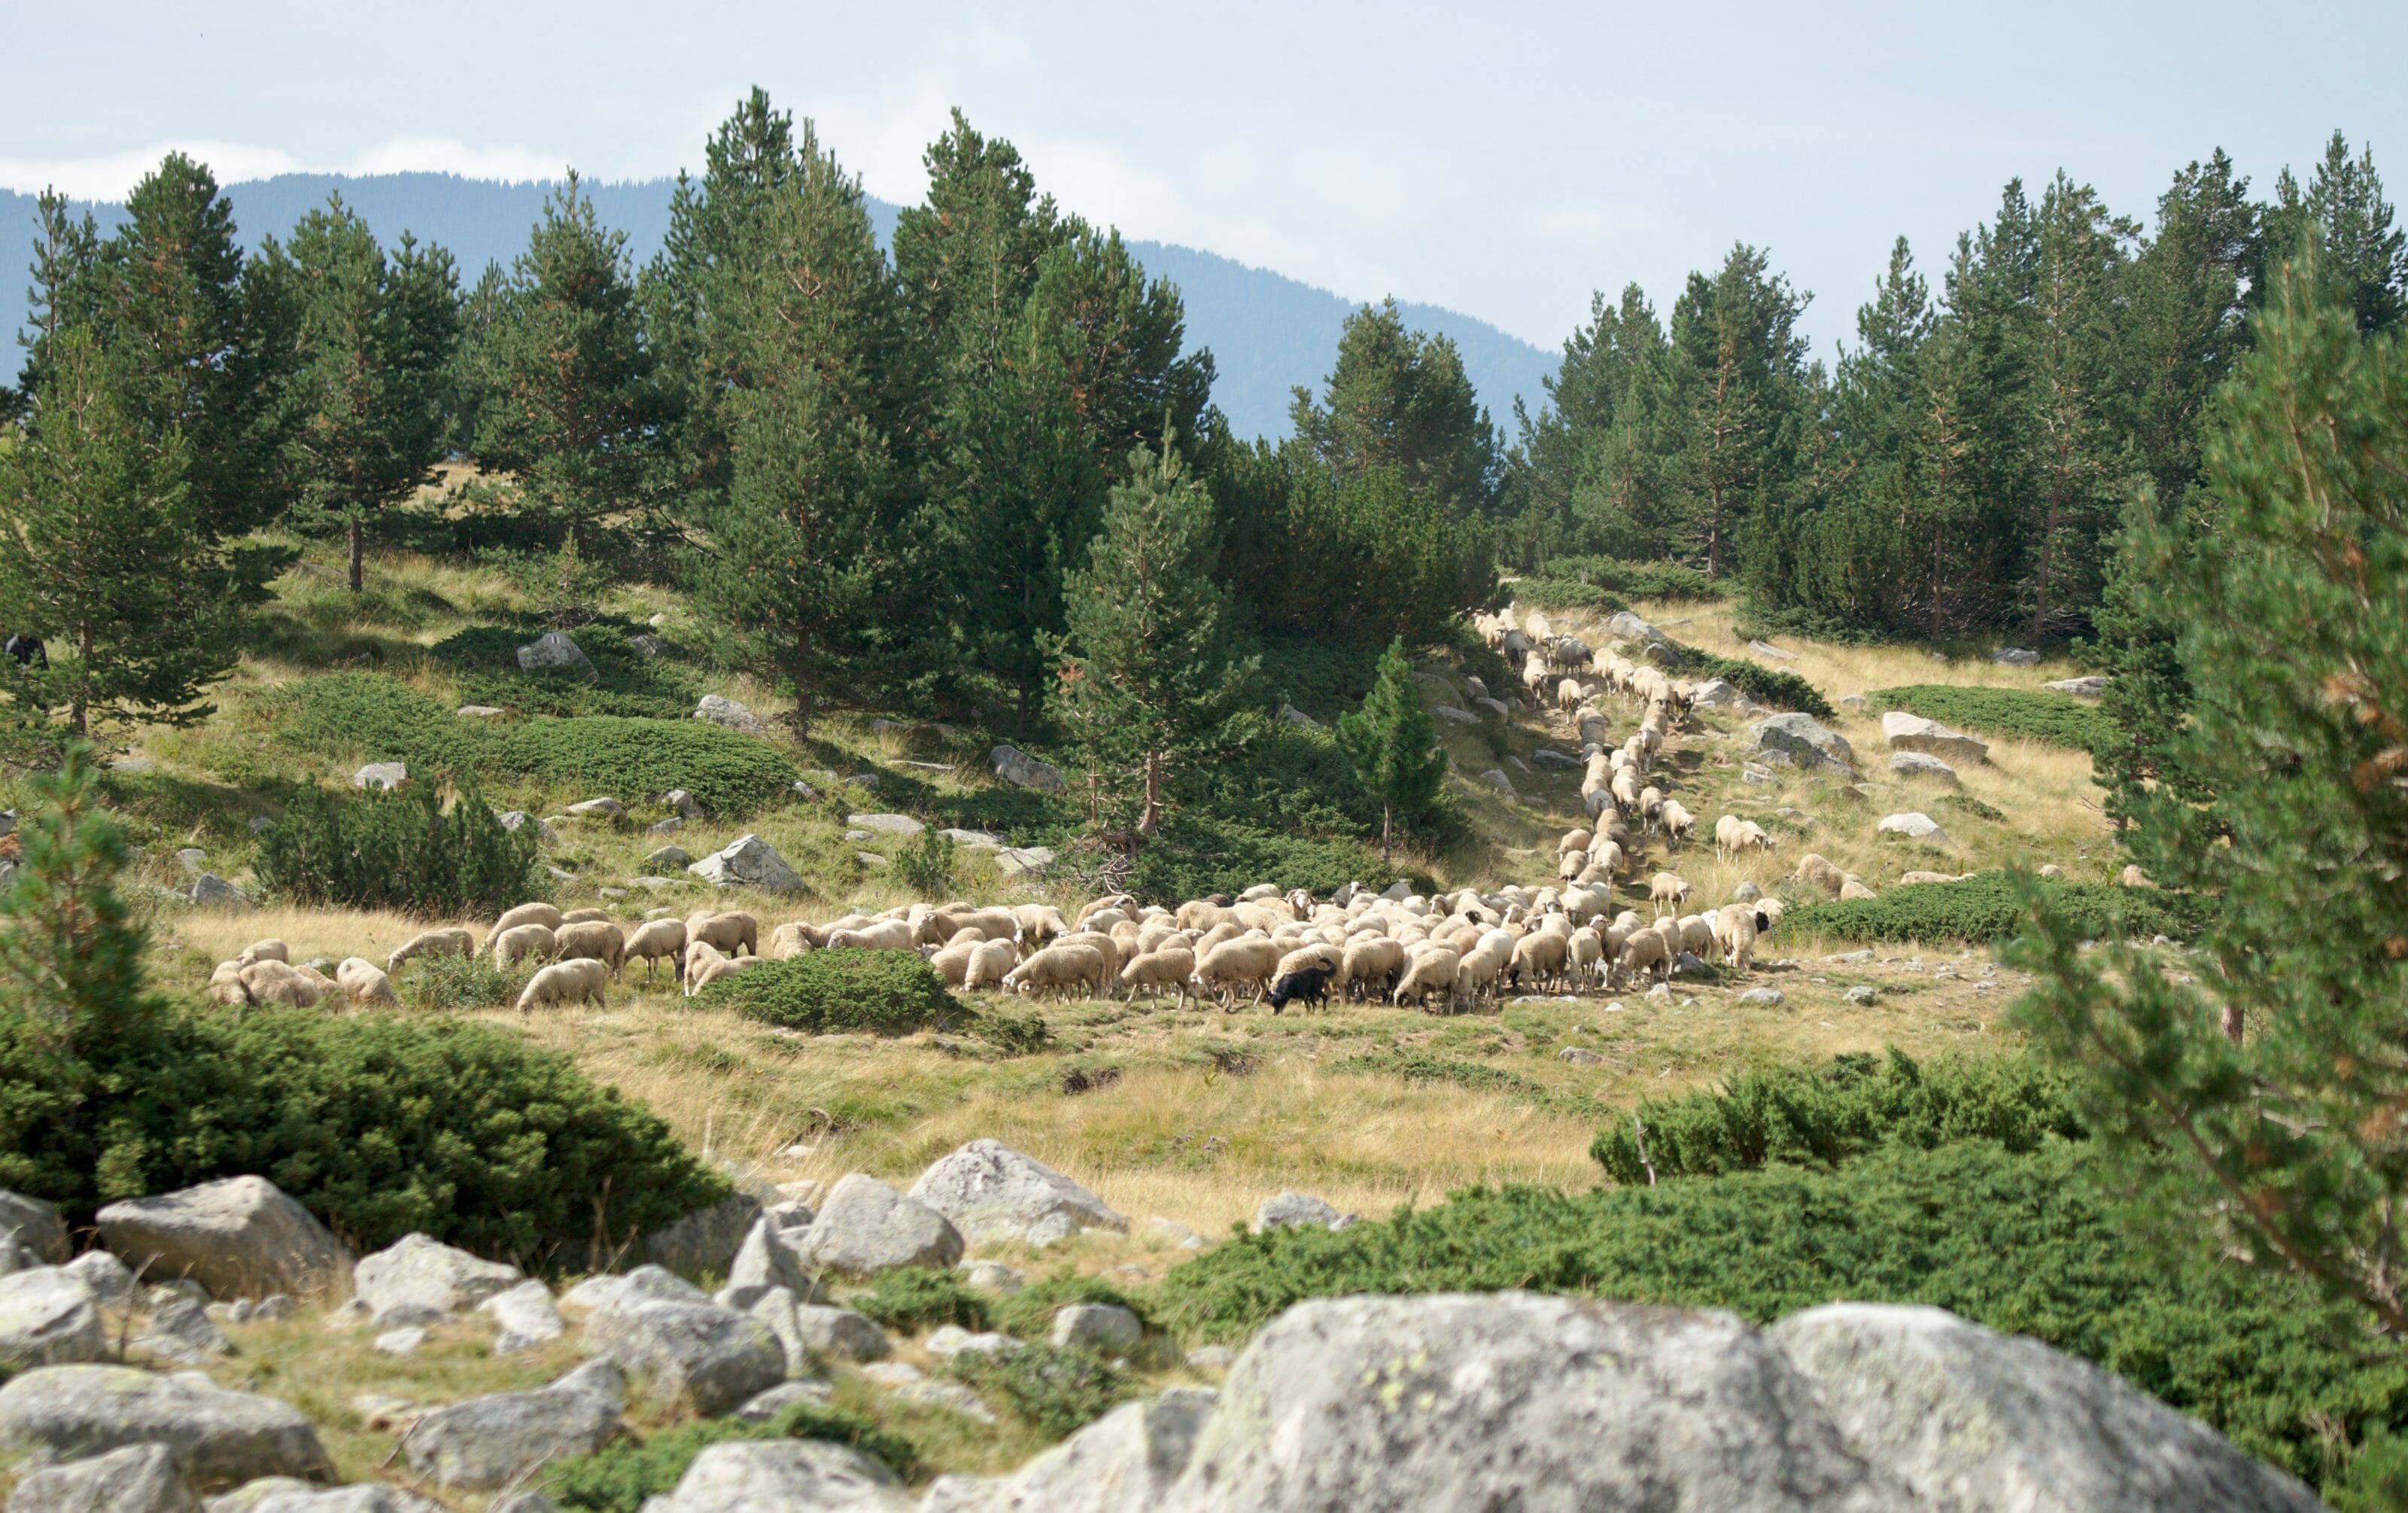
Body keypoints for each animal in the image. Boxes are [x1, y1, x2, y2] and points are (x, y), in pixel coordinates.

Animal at [515, 964, 611, 1012]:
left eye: (525, 1010)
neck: (538, 986)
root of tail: (601, 967)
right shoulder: (545, 999)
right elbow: (547, 1008)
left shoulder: (553, 996)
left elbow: (552, 1008)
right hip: (585, 991)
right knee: (587, 1003)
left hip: (597, 987)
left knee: (601, 1002)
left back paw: (603, 1012)